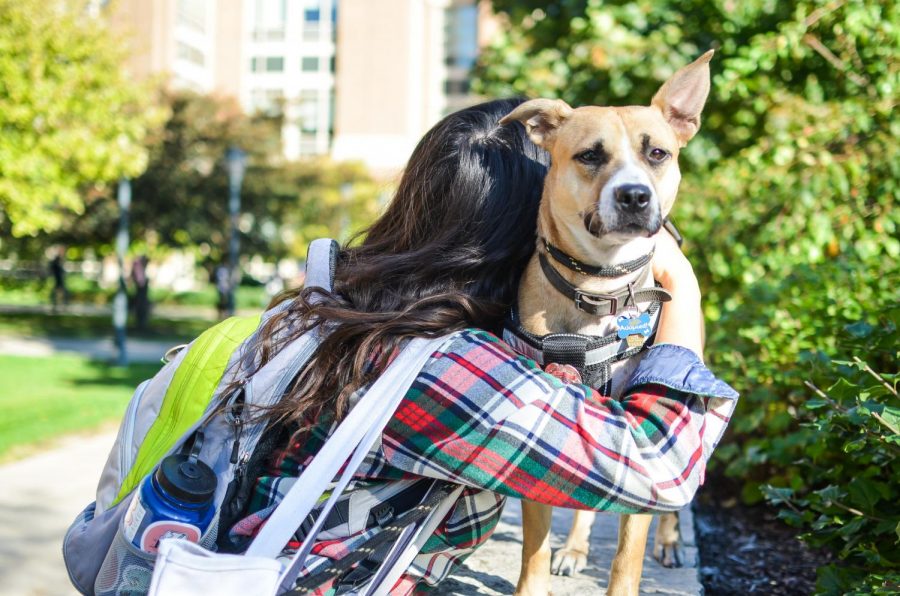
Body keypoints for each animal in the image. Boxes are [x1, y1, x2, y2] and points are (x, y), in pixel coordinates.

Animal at [496, 51, 712, 596]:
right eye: (590, 156)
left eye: (657, 153)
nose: (635, 195)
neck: (600, 290)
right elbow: (535, 545)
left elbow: (627, 554)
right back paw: (575, 549)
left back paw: (671, 541)